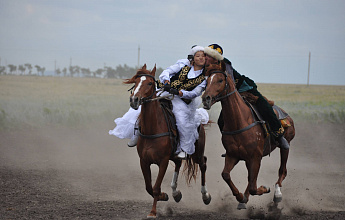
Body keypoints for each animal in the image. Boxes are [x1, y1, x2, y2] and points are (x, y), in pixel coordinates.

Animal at [123, 64, 210, 218]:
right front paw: (164, 196)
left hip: (197, 153)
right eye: (136, 81)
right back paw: (176, 193)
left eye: (149, 83)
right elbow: (149, 187)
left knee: (203, 163)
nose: (134, 100)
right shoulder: (144, 161)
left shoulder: (163, 161)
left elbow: (156, 187)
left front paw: (153, 212)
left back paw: (205, 196)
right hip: (175, 155)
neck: (153, 129)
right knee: (178, 163)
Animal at [202, 62, 296, 209]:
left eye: (220, 80)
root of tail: (286, 115)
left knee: (282, 170)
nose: (206, 99)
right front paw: (240, 197)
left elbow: (253, 186)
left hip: (286, 146)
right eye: (207, 81)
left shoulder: (255, 157)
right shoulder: (233, 155)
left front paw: (265, 189)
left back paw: (277, 194)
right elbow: (226, 175)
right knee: (251, 179)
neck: (240, 122)